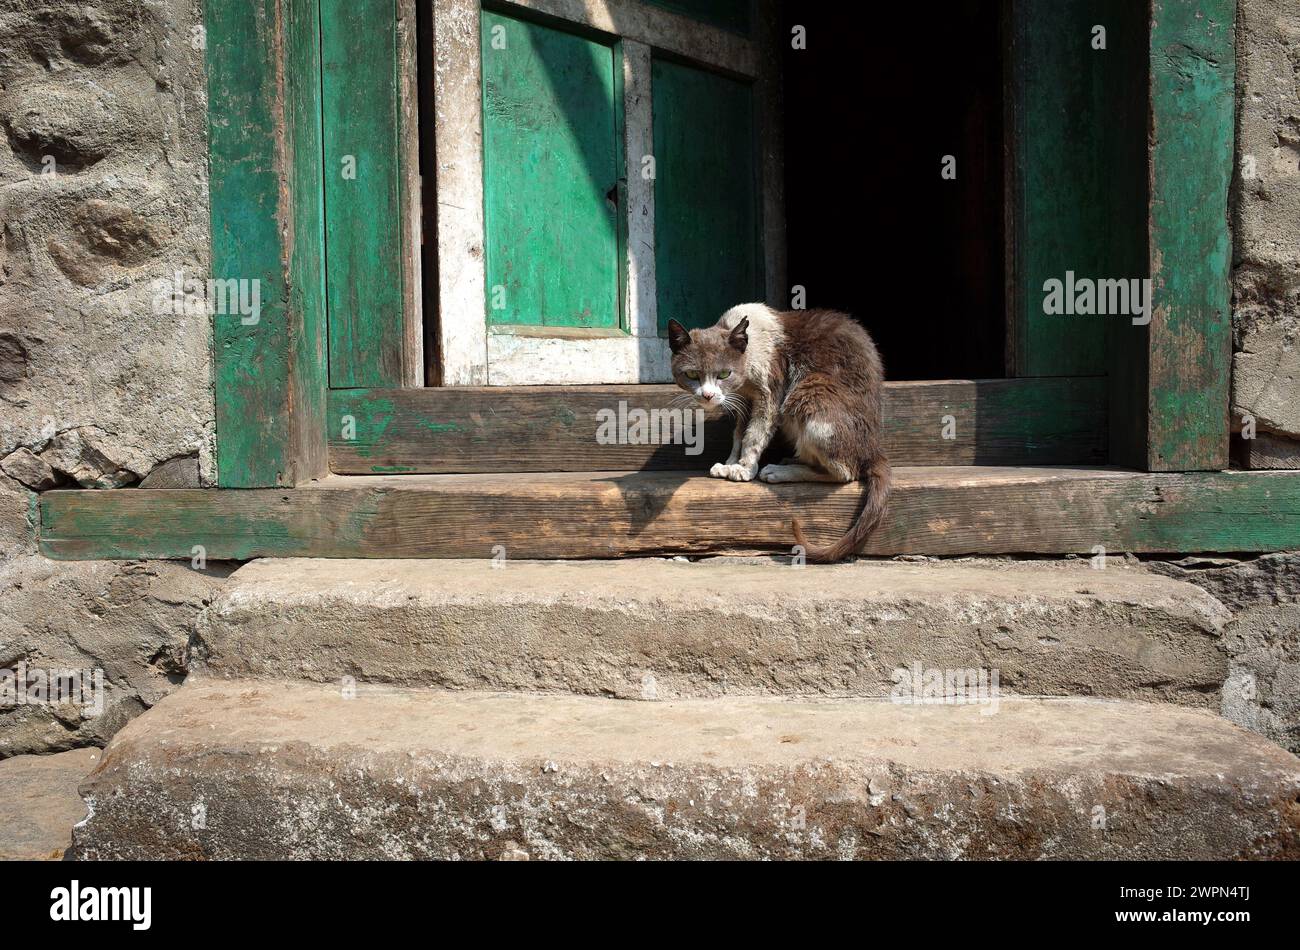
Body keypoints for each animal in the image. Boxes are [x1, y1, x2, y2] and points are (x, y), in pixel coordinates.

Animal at [665, 301, 889, 561]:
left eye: (723, 374)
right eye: (691, 374)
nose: (708, 395)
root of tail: (874, 449)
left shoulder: (769, 391)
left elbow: (754, 434)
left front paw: (743, 469)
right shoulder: (743, 399)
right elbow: (738, 434)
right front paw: (729, 463)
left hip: (808, 394)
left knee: (846, 473)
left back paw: (777, 471)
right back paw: (791, 460)